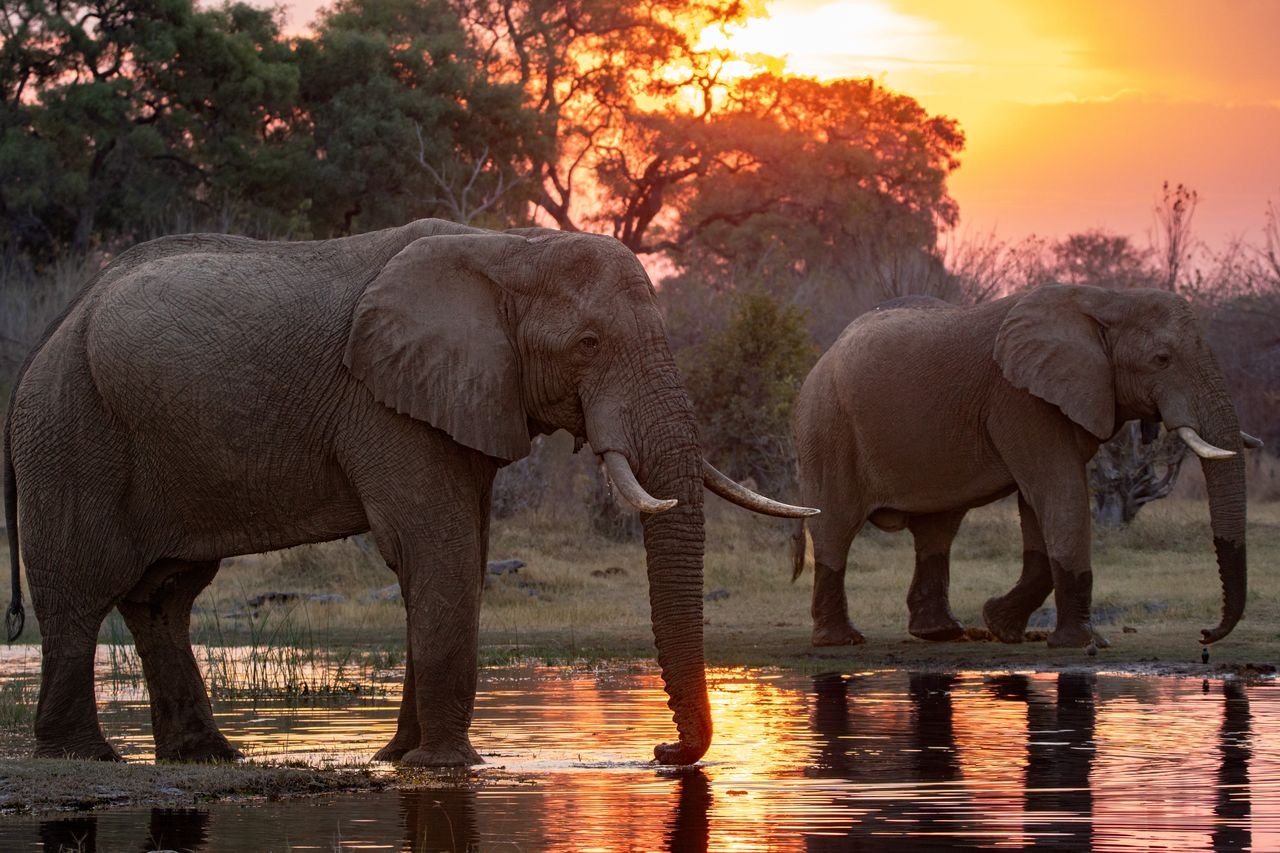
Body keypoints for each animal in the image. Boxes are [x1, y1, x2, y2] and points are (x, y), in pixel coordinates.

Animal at [3, 218, 815, 766]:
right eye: (589, 344)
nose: (658, 753)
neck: (511, 248)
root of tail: (50, 333)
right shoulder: (385, 404)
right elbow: (436, 548)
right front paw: (447, 764)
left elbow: (460, 556)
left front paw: (399, 758)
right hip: (70, 431)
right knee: (81, 592)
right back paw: (83, 756)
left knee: (164, 595)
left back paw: (206, 756)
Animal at [791, 285, 1251, 648]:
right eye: (1162, 359)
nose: (1206, 635)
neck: (1105, 298)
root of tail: (822, 356)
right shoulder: (1020, 400)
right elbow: (1059, 494)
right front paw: (1083, 644)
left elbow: (1040, 508)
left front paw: (1000, 625)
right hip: (826, 428)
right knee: (835, 528)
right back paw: (842, 640)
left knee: (937, 530)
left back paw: (941, 633)